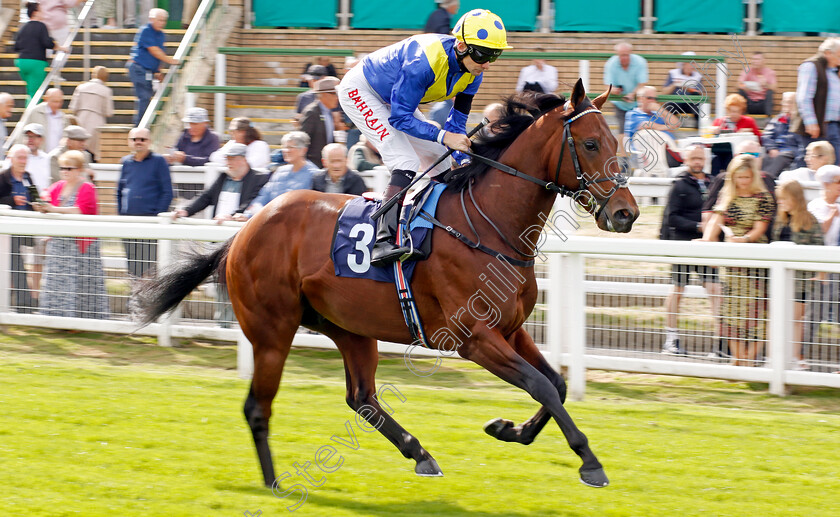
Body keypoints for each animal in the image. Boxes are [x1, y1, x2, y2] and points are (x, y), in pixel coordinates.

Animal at [135, 78, 640, 490]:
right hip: (272, 331)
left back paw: (420, 454)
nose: (626, 213)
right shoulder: (474, 339)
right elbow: (539, 385)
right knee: (258, 407)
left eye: (616, 140)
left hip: (350, 328)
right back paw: (275, 482)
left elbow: (555, 383)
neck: (488, 226)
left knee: (361, 397)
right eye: (591, 143)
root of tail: (245, 229)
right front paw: (590, 462)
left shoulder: (511, 330)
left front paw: (508, 429)